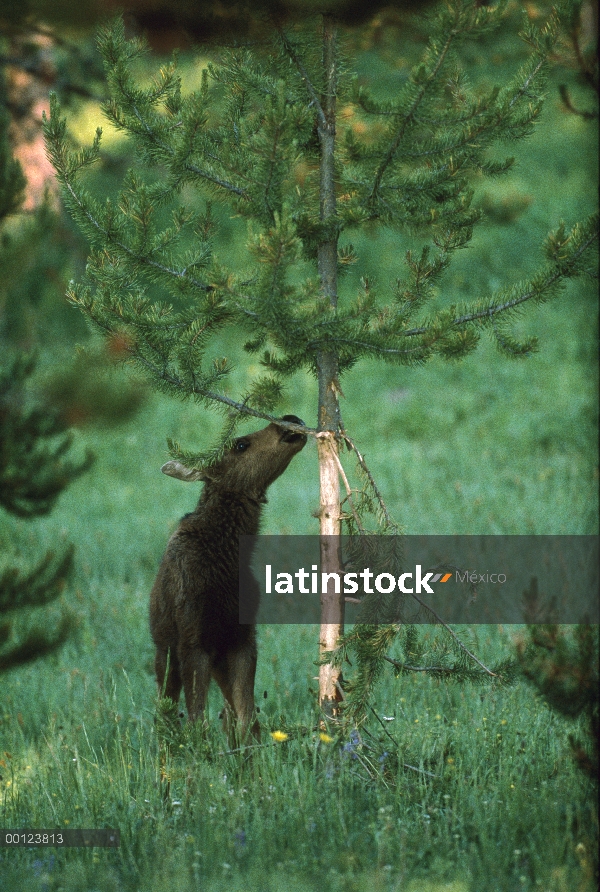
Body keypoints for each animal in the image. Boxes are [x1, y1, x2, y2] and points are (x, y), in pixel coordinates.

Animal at [148, 414, 308, 744]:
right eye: (240, 444)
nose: (290, 420)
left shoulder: (242, 638)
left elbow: (247, 718)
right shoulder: (193, 640)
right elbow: (197, 722)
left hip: (218, 658)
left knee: (228, 713)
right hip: (165, 651)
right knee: (164, 712)